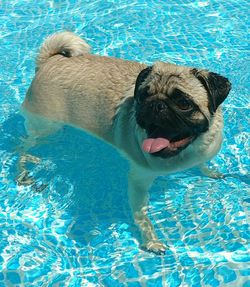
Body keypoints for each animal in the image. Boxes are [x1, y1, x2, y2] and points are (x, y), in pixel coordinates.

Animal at [19, 31, 230, 254]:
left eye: (183, 103)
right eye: (143, 96)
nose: (156, 105)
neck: (185, 151)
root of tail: (49, 61)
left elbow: (202, 164)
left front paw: (208, 171)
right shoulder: (139, 180)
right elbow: (141, 214)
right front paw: (151, 241)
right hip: (46, 127)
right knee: (22, 147)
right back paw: (23, 171)